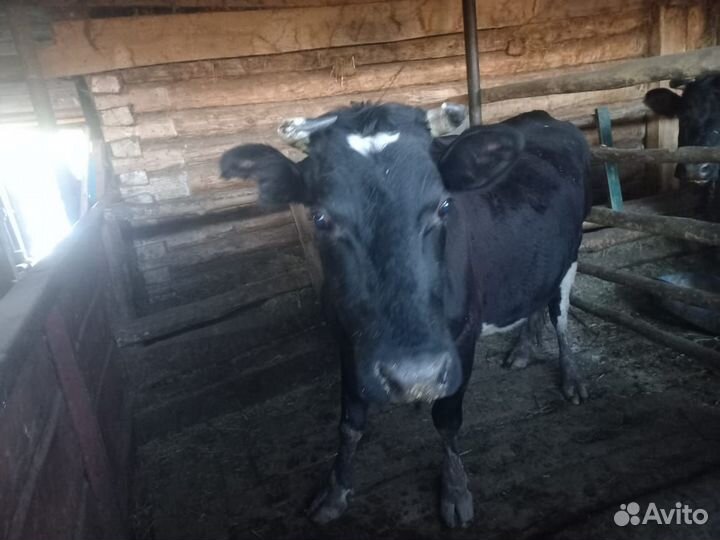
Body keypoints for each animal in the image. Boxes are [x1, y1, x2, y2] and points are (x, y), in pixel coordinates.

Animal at [220, 102, 591, 528]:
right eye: (321, 218)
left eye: (444, 206)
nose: (416, 377)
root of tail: (543, 115)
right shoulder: (346, 340)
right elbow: (350, 424)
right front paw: (335, 491)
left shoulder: (462, 337)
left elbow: (447, 421)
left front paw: (455, 490)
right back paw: (524, 350)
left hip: (572, 254)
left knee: (559, 317)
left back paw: (571, 377)